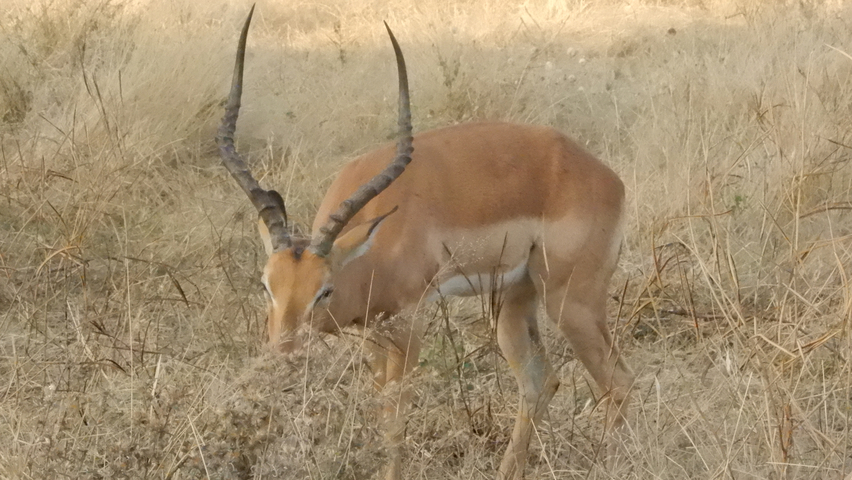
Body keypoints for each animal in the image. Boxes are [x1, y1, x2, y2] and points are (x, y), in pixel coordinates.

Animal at [217, 7, 634, 480]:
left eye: (324, 290)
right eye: (266, 285)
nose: (281, 356)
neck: (372, 252)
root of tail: (603, 175)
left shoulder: (409, 321)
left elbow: (394, 415)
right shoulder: (375, 332)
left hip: (571, 302)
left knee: (618, 382)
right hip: (515, 300)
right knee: (540, 380)